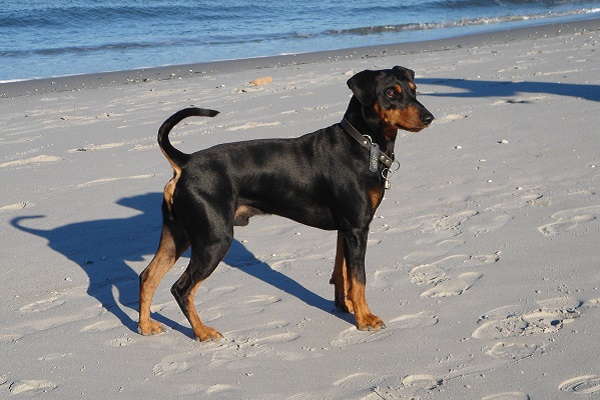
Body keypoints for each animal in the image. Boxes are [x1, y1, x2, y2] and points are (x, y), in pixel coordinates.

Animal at [138, 65, 434, 340]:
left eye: (414, 89)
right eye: (391, 93)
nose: (429, 117)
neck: (363, 143)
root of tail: (185, 162)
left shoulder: (346, 228)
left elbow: (342, 272)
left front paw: (345, 306)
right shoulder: (357, 228)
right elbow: (358, 277)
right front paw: (365, 319)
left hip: (178, 233)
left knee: (148, 275)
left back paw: (145, 326)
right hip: (214, 239)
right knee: (181, 288)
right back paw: (202, 332)